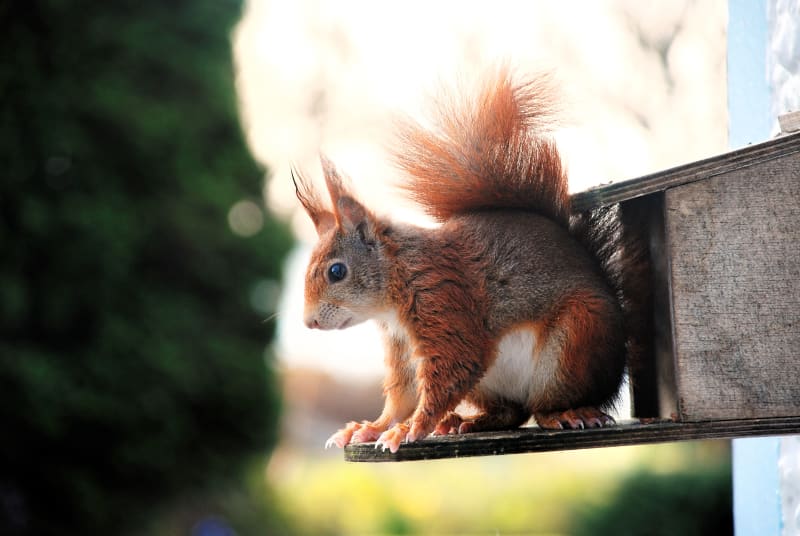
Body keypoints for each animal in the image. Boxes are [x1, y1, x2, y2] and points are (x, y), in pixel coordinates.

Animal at [293, 67, 650, 454]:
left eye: (337, 271)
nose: (309, 322)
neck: (398, 279)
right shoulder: (401, 346)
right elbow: (402, 394)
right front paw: (371, 427)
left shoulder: (445, 304)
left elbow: (452, 369)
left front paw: (408, 429)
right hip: (491, 382)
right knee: (512, 413)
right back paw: (465, 421)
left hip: (575, 341)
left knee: (544, 406)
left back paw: (566, 413)